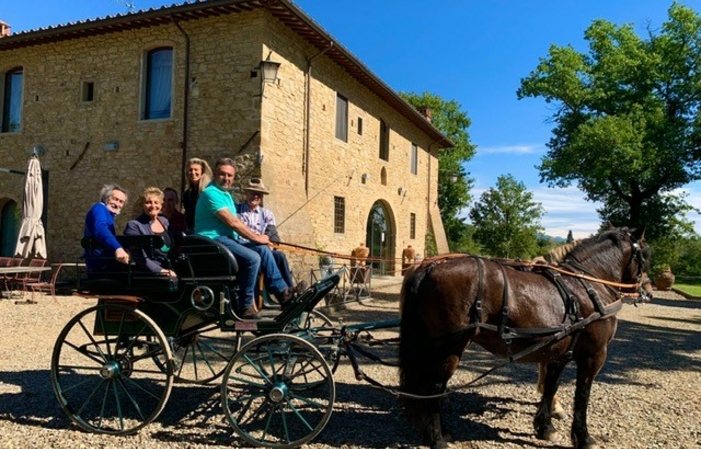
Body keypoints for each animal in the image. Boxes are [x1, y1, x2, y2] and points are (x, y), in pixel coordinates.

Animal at [396, 228, 648, 448]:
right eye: (646, 253)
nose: (646, 289)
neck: (587, 284)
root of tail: (430, 267)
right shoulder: (593, 356)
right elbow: (582, 396)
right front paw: (583, 438)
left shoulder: (558, 353)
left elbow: (551, 387)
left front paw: (545, 427)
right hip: (449, 347)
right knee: (434, 387)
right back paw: (436, 438)